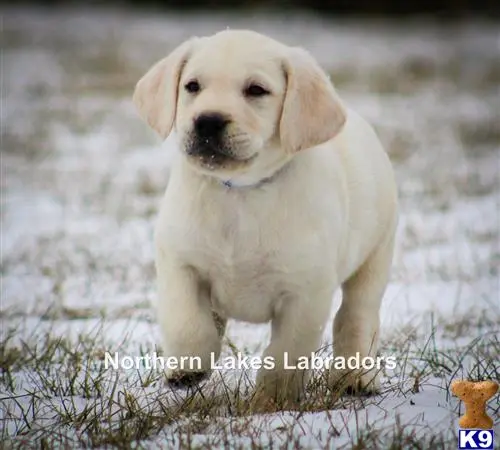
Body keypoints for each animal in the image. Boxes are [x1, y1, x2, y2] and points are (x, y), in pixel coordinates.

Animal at [134, 28, 398, 408]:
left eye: (256, 90)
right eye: (192, 86)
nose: (208, 120)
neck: (242, 193)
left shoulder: (306, 293)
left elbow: (286, 353)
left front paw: (272, 402)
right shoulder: (179, 261)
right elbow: (187, 321)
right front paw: (187, 366)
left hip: (376, 255)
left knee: (356, 317)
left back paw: (356, 378)